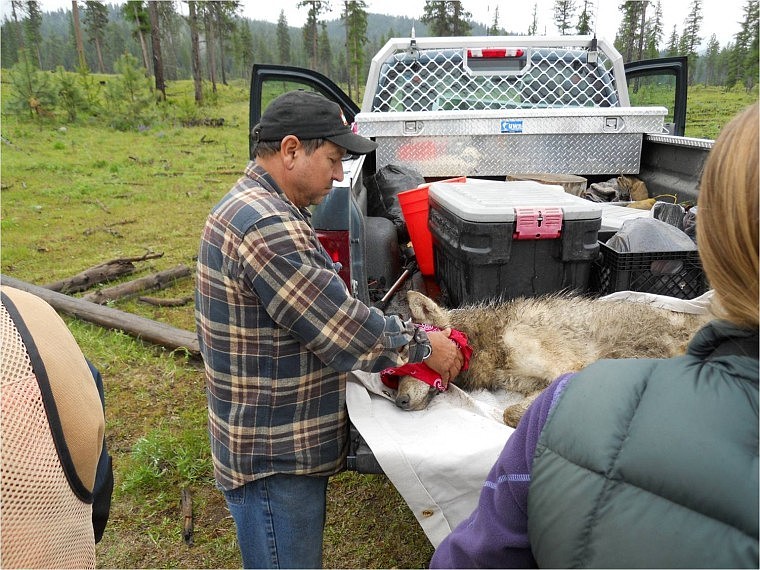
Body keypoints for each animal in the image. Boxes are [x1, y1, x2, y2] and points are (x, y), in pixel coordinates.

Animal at [398, 290, 712, 424]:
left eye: (412, 355)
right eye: (392, 373)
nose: (399, 401)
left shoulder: (569, 368)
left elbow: (510, 413)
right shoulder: (538, 384)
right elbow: (513, 411)